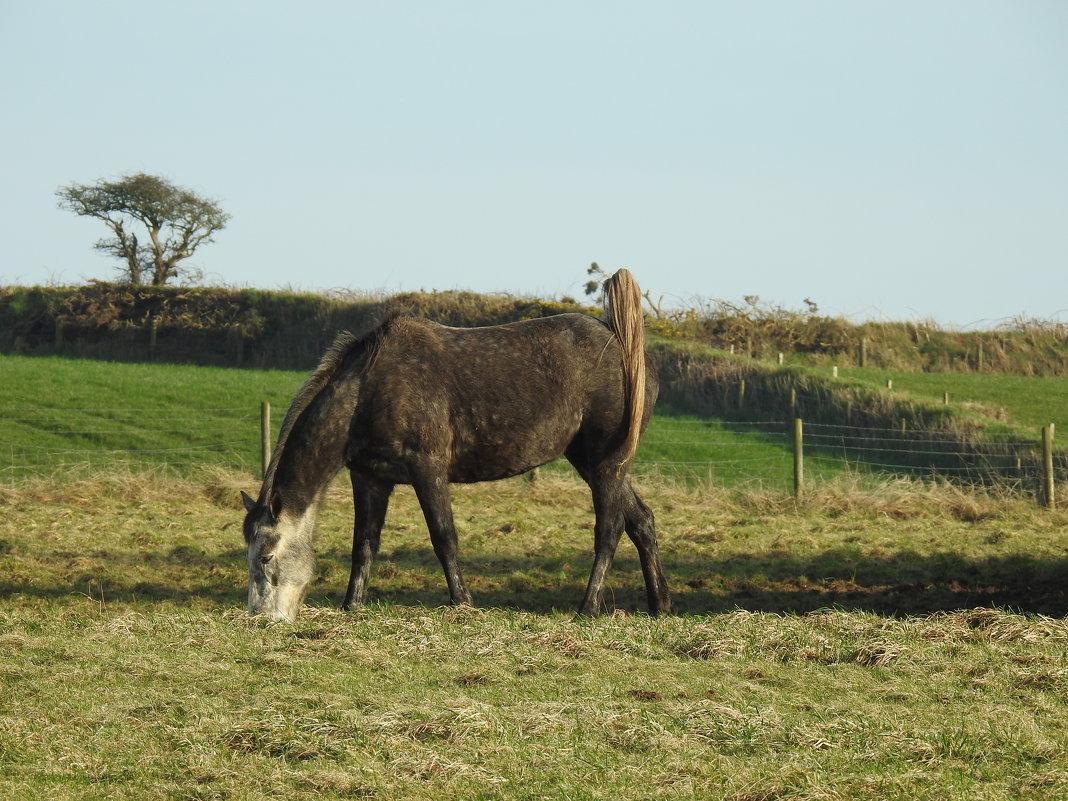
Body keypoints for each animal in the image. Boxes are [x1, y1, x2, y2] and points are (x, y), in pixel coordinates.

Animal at [245, 268, 670, 619]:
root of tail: (623, 344)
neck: (369, 389)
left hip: (604, 463)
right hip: (592, 461)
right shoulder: (370, 478)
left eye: (266, 557)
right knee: (641, 520)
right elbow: (364, 544)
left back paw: (589, 606)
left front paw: (462, 603)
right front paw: (353, 604)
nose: (261, 617)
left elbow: (444, 538)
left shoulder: (428, 469)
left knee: (609, 529)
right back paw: (659, 604)